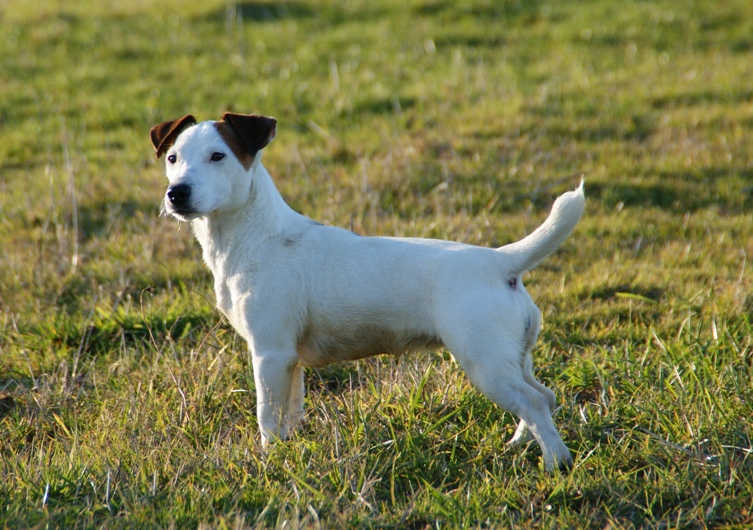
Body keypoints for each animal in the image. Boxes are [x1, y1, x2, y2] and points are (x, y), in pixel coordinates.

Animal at [153, 110, 584, 466]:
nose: (177, 193)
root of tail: (500, 261)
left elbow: (267, 416)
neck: (255, 237)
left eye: (218, 156)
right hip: (513, 357)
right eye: (172, 158)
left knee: (534, 403)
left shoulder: (270, 353)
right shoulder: (290, 360)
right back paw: (519, 445)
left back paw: (556, 462)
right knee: (543, 396)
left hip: (485, 362)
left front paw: (268, 460)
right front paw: (290, 452)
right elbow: (290, 413)